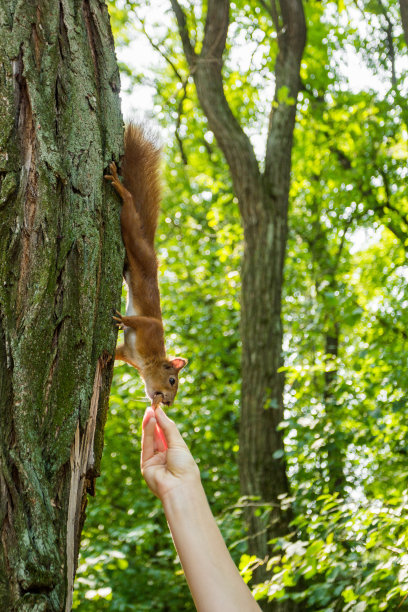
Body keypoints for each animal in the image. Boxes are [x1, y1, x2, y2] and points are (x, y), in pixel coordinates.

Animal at [105, 123, 188, 406]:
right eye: (172, 380)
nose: (168, 402)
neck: (146, 361)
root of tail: (152, 251)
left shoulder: (127, 352)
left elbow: (116, 352)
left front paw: (107, 356)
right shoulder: (151, 328)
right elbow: (141, 321)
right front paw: (122, 318)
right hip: (136, 241)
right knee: (130, 207)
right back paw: (120, 187)